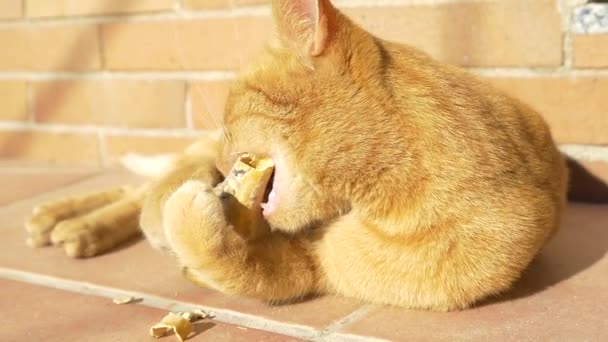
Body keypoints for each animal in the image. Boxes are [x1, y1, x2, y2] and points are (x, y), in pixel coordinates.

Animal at [27, 0, 576, 310]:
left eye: (230, 115)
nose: (222, 161)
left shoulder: (310, 269)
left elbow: (244, 267)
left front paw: (192, 233)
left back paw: (81, 229)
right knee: (138, 187)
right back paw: (64, 219)